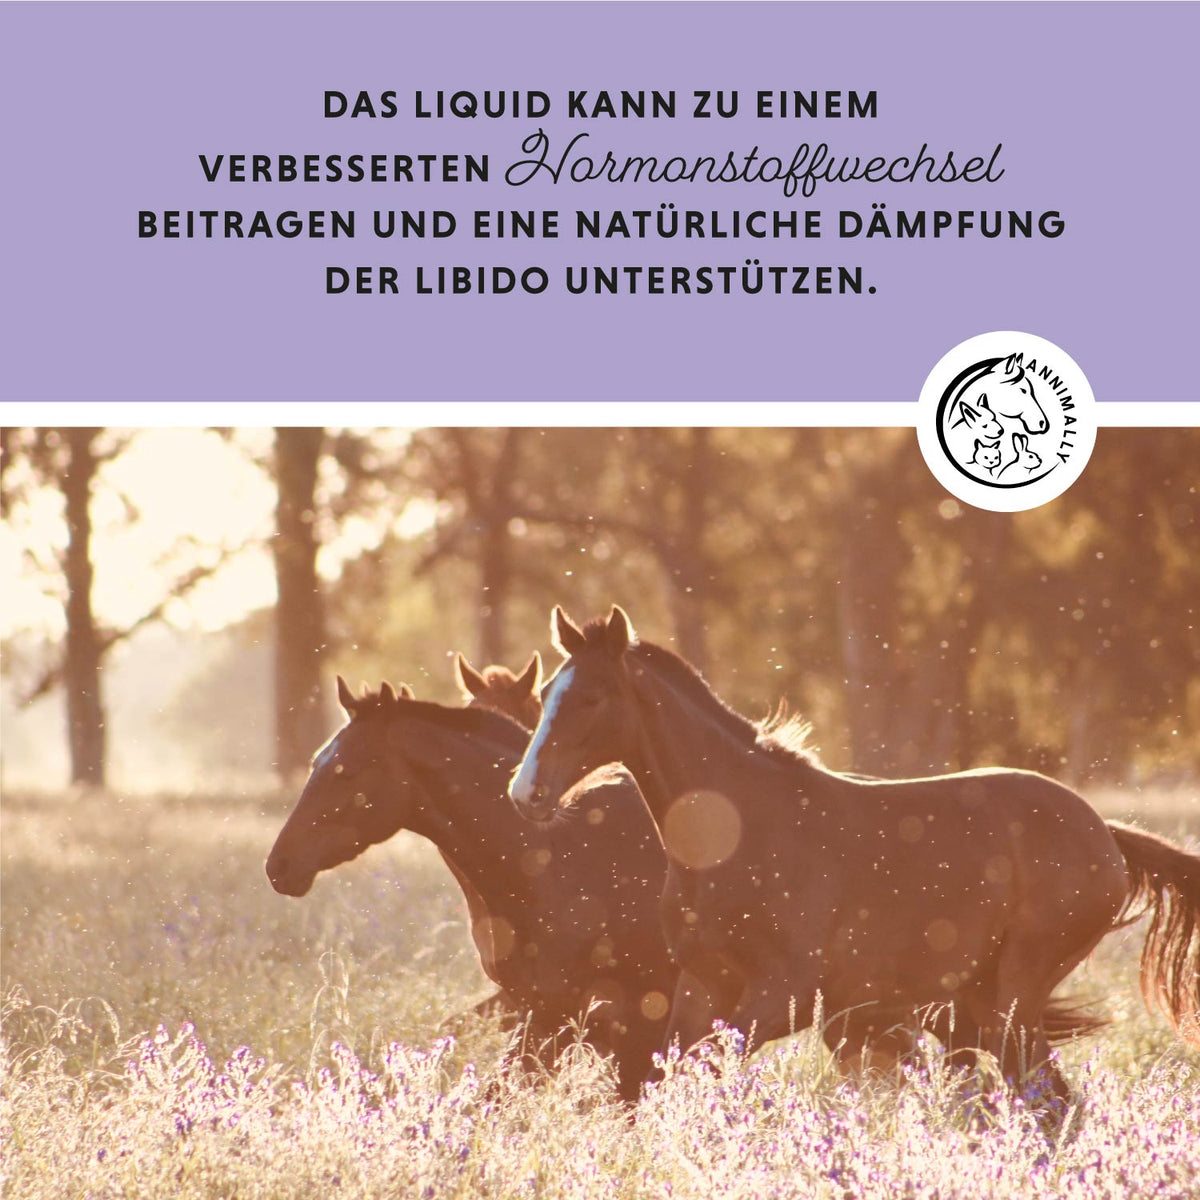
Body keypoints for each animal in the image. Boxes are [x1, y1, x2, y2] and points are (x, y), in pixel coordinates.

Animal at [509, 605, 1200, 1100]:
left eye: (593, 697)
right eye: (545, 696)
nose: (526, 793)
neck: (733, 837)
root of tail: (1104, 831)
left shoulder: (784, 995)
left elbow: (707, 1072)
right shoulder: (702, 987)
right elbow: (667, 1077)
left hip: (1013, 996)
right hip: (976, 1002)